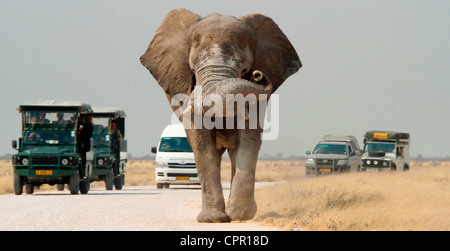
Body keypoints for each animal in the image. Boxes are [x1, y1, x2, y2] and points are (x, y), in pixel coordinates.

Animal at [141, 8, 302, 223]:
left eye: (245, 70)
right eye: (192, 69)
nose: (258, 75)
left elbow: (249, 135)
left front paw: (241, 215)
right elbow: (201, 139)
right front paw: (212, 219)